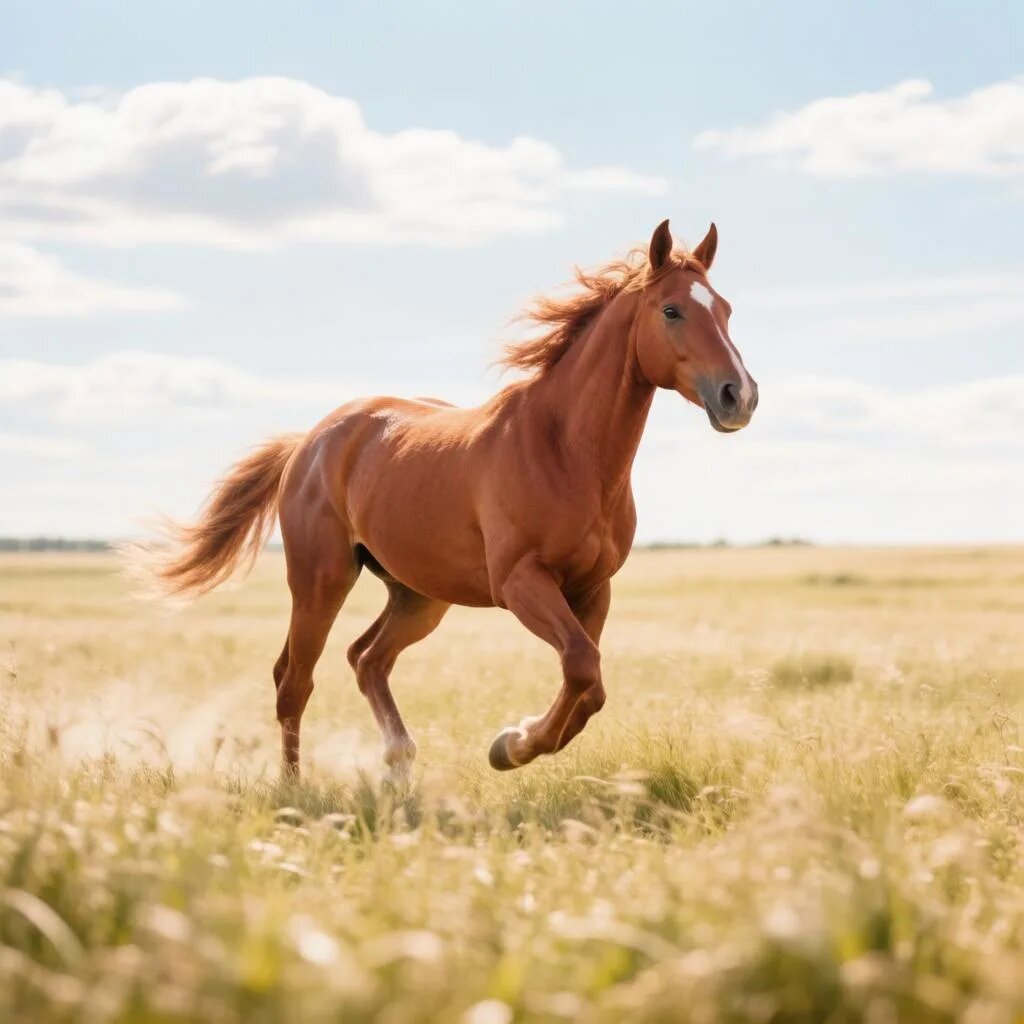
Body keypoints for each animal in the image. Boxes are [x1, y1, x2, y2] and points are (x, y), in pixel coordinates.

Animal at [139, 219, 758, 781]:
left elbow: (589, 686)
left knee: (366, 658)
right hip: (321, 581)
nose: (740, 396)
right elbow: (583, 666)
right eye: (672, 311)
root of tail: (310, 443)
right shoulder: (520, 582)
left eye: (725, 310)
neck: (563, 450)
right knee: (294, 681)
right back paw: (297, 790)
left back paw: (398, 770)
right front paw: (511, 746)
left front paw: (512, 741)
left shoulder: (592, 588)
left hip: (417, 596)